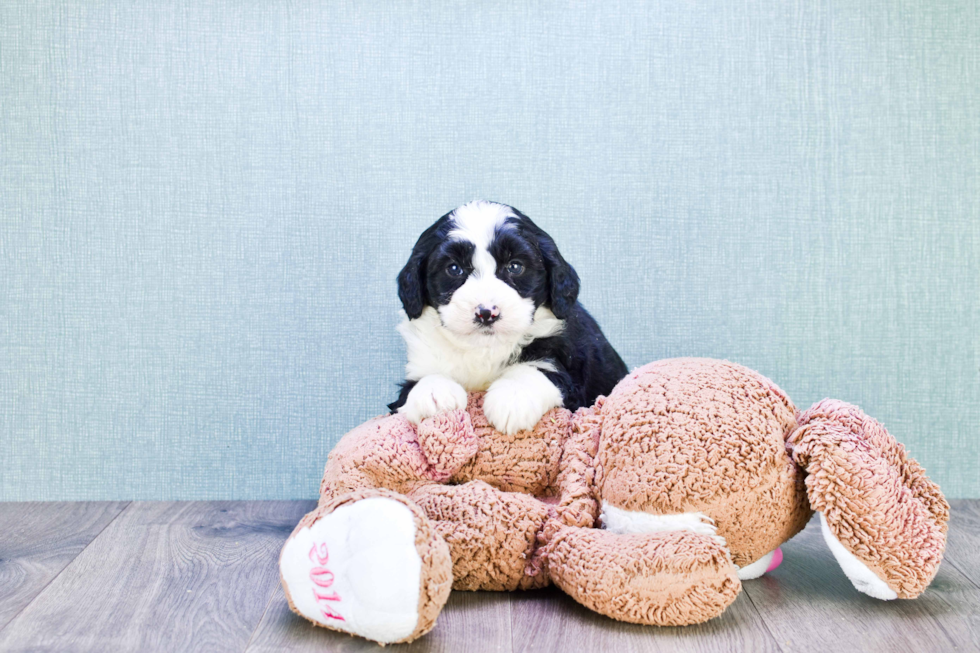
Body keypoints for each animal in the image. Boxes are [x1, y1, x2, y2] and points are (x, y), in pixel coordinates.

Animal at [386, 199, 624, 432]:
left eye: (515, 266)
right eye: (454, 269)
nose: (486, 313)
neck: (483, 350)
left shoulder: (569, 372)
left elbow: (535, 370)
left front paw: (513, 398)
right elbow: (420, 380)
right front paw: (434, 393)